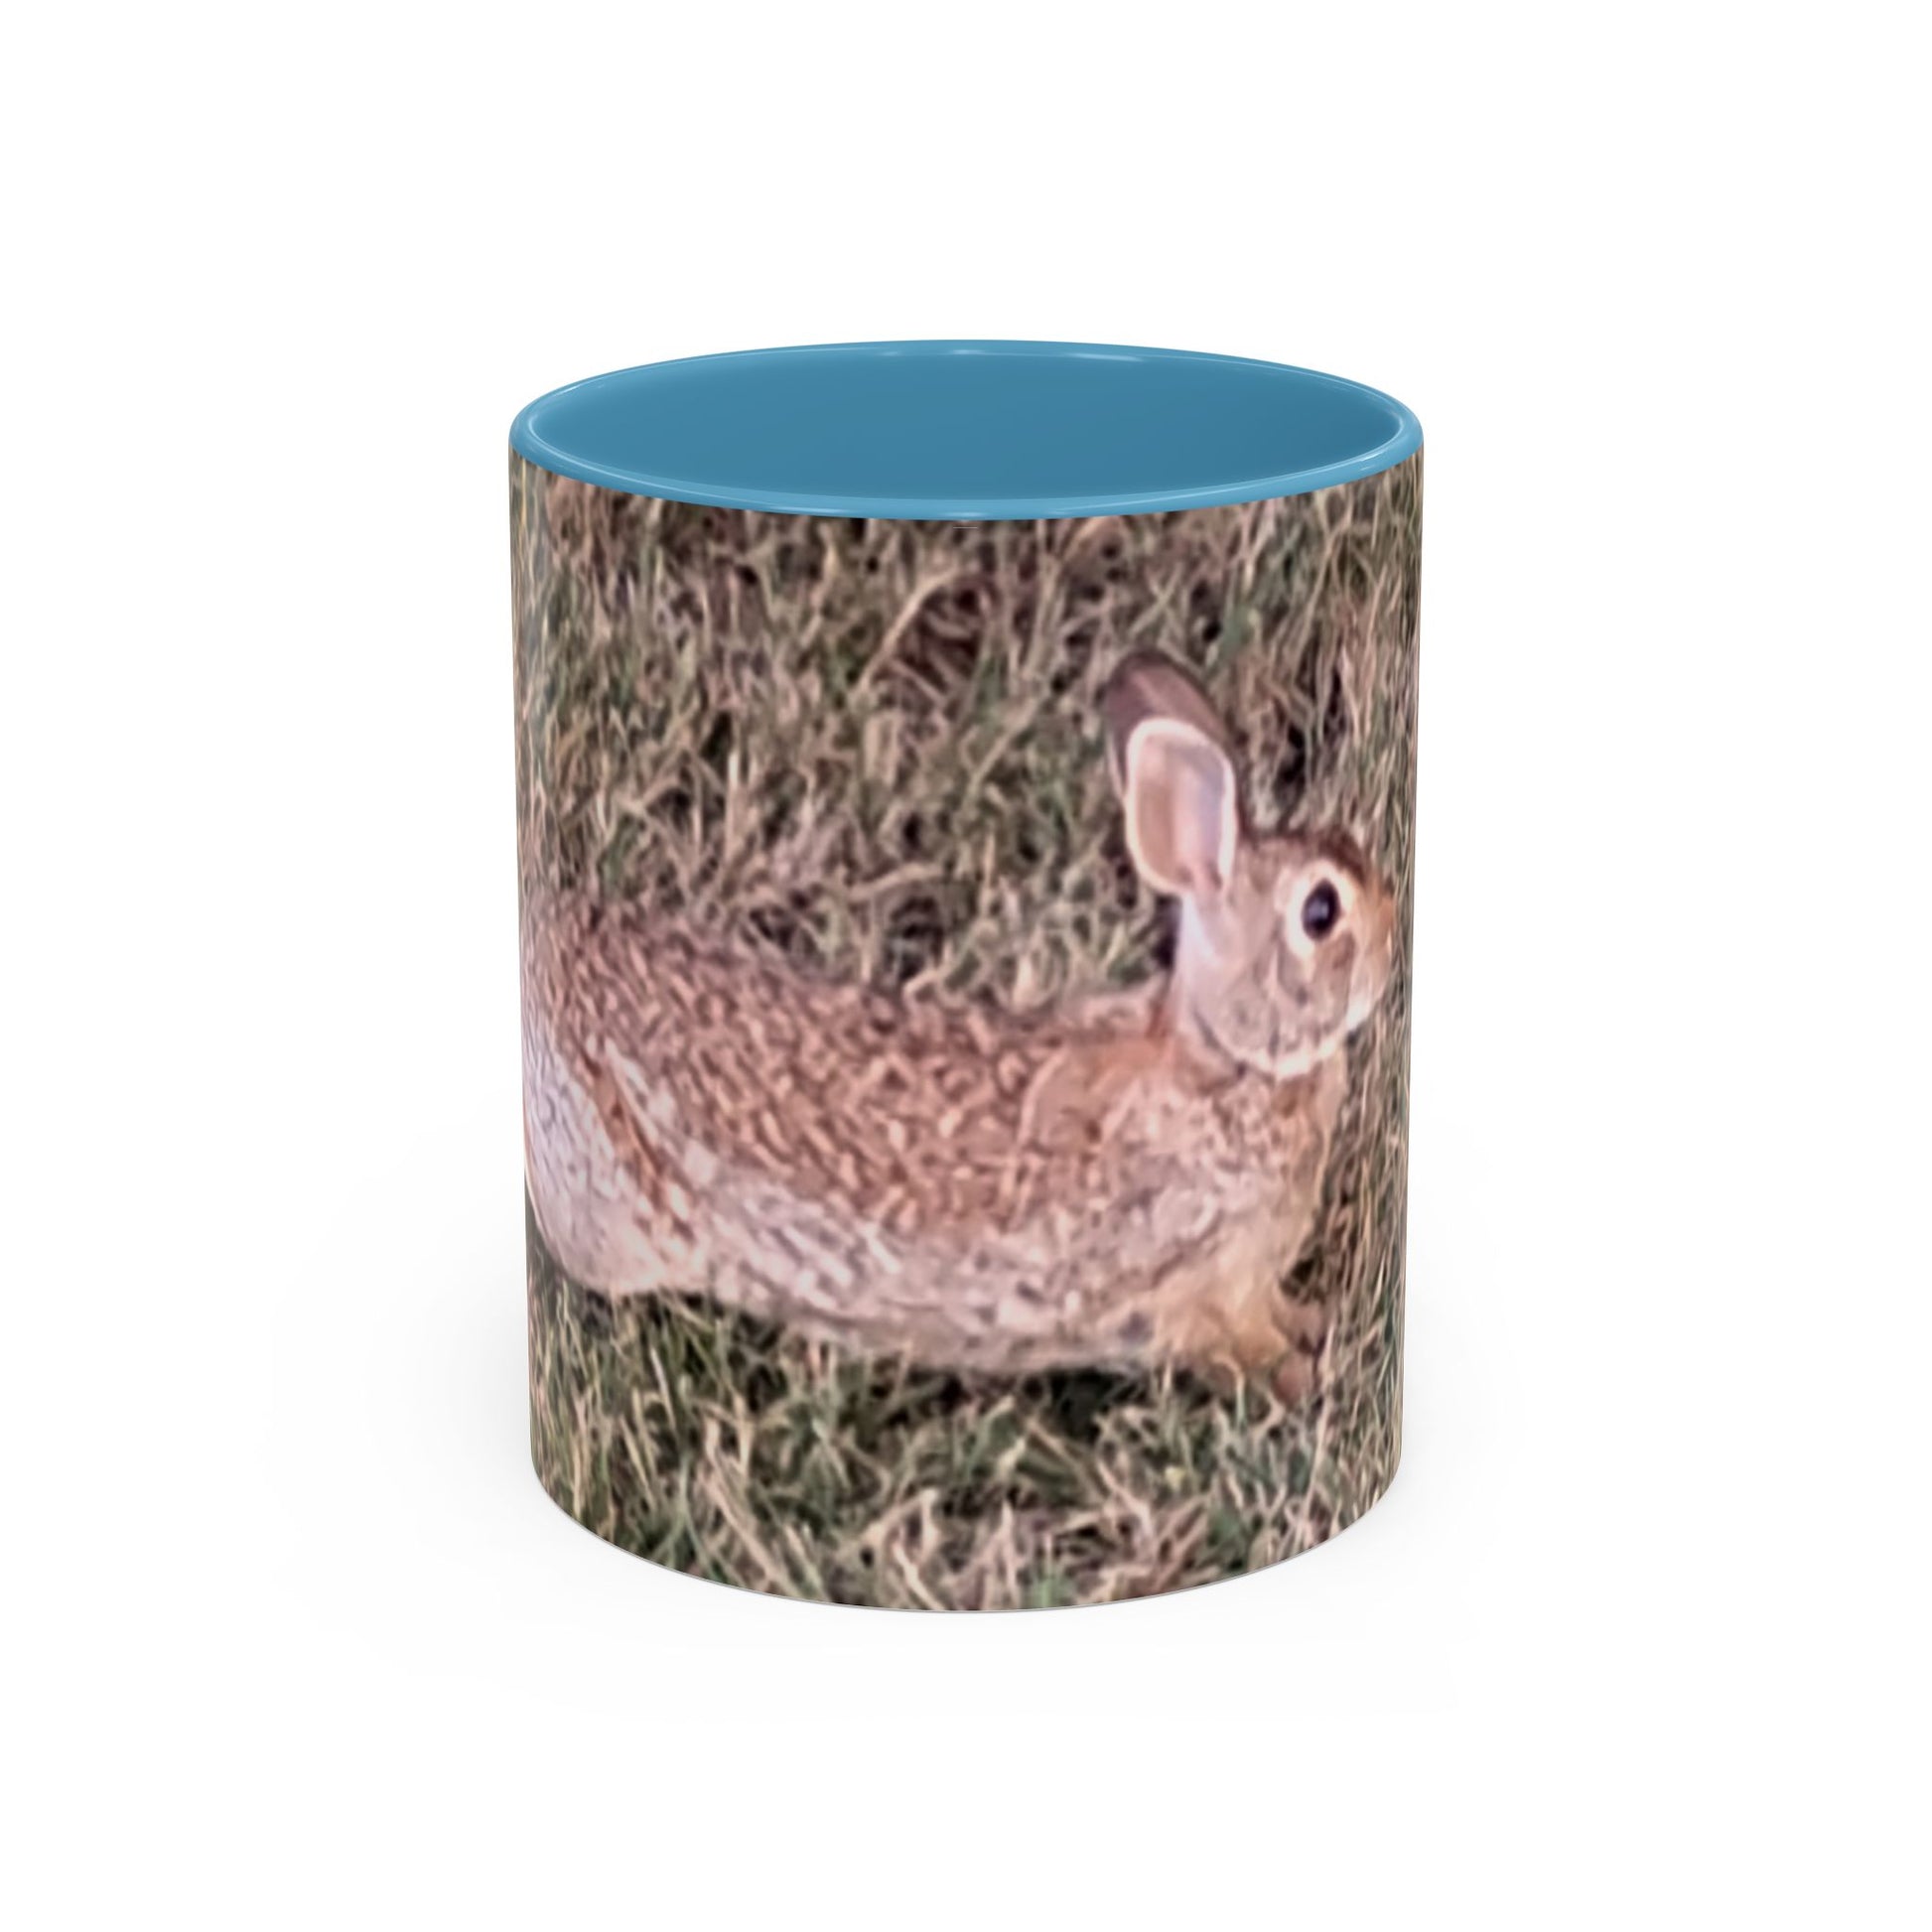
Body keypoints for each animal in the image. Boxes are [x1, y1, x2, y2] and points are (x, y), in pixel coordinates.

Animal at [520, 650, 1396, 1402]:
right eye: (1321, 912)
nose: (1392, 946)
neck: (1228, 1060)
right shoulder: (1198, 1287)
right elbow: (1240, 1349)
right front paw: (1303, 1382)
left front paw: (1318, 1327)